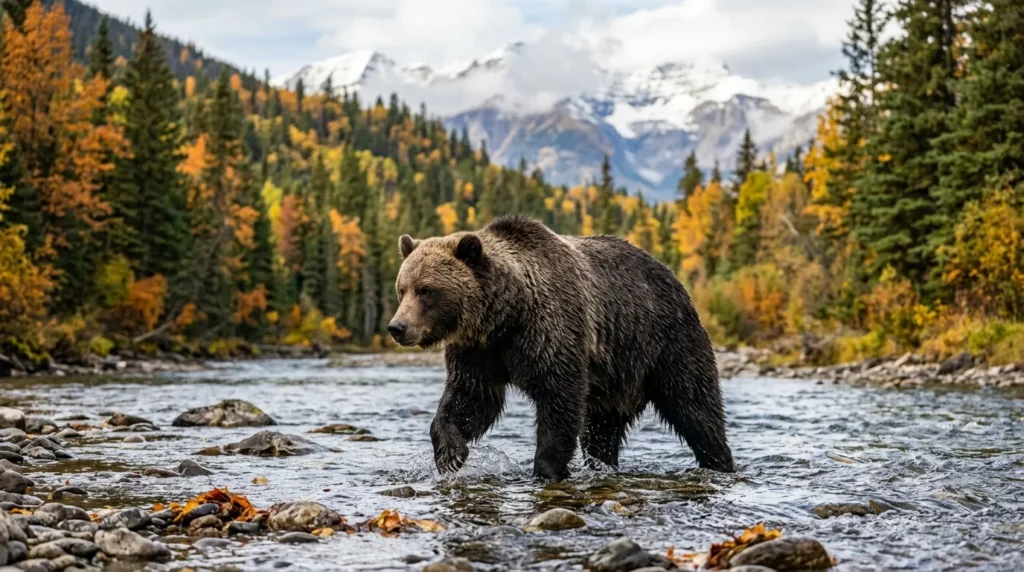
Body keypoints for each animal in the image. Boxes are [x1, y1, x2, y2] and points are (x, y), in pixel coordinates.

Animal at [388, 215, 735, 480]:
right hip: (614, 381)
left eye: (426, 290)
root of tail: (673, 277)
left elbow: (559, 398)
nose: (397, 327)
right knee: (601, 431)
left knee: (695, 405)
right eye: (402, 289)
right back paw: (603, 466)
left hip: (665, 341)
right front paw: (451, 454)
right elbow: (471, 399)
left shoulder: (550, 330)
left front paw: (546, 469)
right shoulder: (479, 351)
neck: (506, 317)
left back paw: (720, 461)